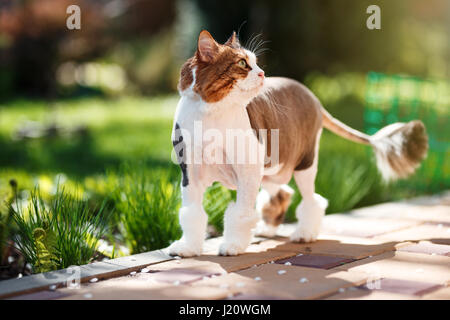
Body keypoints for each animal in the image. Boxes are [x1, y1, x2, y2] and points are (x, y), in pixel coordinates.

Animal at [167, 28, 428, 256]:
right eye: (242, 64)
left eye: (256, 62)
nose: (262, 73)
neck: (210, 115)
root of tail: (313, 97)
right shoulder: (191, 173)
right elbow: (191, 214)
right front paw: (187, 248)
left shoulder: (247, 171)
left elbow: (241, 213)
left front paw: (233, 246)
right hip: (271, 170)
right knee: (282, 193)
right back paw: (268, 229)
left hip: (304, 164)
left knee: (312, 200)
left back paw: (304, 234)